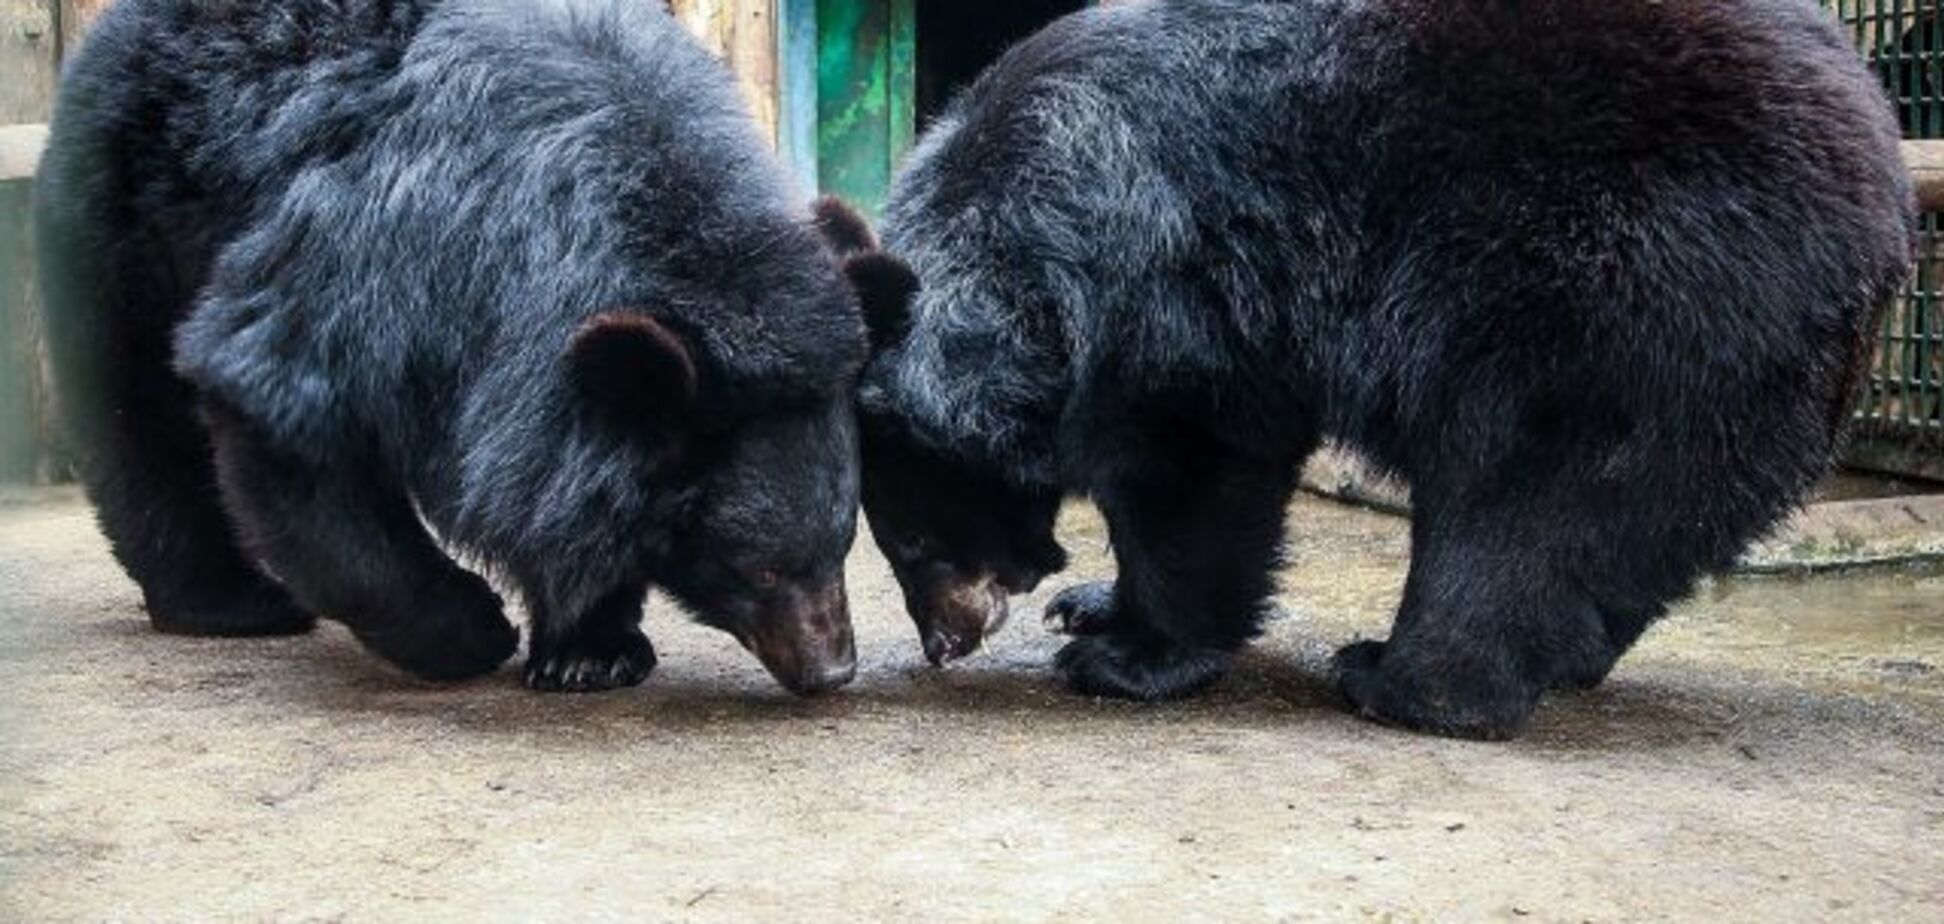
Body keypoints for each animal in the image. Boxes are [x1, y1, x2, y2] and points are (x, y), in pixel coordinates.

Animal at [35, 0, 874, 692]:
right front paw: (476, 629)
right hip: (128, 215)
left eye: (842, 543)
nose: (832, 669)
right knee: (140, 413)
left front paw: (589, 651)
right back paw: (233, 602)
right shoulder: (379, 259)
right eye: (757, 569)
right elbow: (281, 414)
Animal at [847, 0, 1912, 739]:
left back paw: (1401, 680)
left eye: (912, 537)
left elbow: (1193, 473)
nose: (943, 645)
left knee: (1527, 504)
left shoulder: (1168, 284)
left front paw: (1126, 655)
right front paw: (1089, 605)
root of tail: (1887, 203)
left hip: (1623, 289)